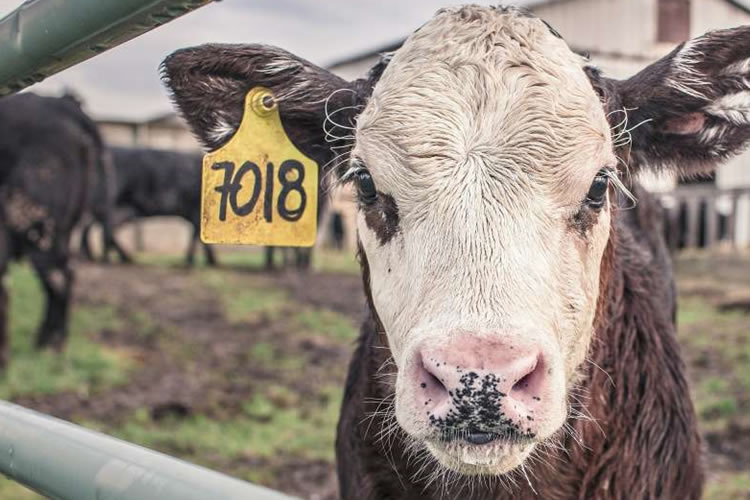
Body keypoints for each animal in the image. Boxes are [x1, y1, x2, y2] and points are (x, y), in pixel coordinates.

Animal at [82, 147, 217, 268]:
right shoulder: (195, 210)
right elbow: (196, 235)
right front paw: (193, 262)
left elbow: (198, 235)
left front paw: (210, 261)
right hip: (112, 205)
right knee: (103, 229)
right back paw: (108, 259)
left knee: (96, 227)